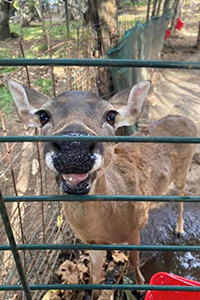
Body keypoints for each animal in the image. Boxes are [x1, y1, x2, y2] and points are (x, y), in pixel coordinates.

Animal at [8, 79, 197, 300]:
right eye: (43, 115)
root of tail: (186, 119)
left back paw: (180, 230)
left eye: (111, 116)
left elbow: (134, 261)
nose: (74, 146)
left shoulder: (134, 230)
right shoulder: (92, 241)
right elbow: (95, 274)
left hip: (184, 168)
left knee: (183, 196)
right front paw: (95, 293)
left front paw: (141, 287)